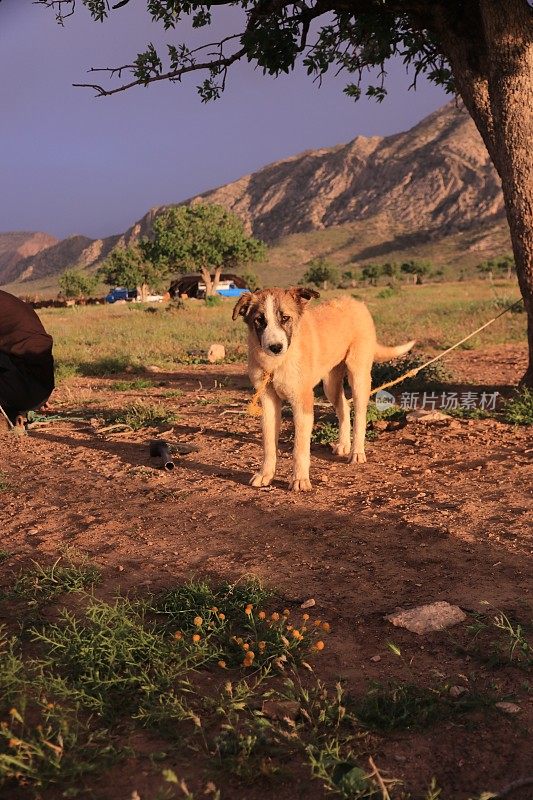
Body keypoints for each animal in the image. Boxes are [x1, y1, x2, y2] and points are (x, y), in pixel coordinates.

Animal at [234, 284, 416, 490]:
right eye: (259, 320)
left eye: (285, 318)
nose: (275, 347)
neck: (277, 363)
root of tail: (355, 302)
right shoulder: (268, 401)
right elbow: (268, 444)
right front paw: (265, 474)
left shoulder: (302, 401)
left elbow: (300, 448)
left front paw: (300, 479)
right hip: (331, 384)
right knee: (344, 407)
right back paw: (343, 445)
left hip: (358, 376)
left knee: (360, 414)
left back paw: (357, 452)